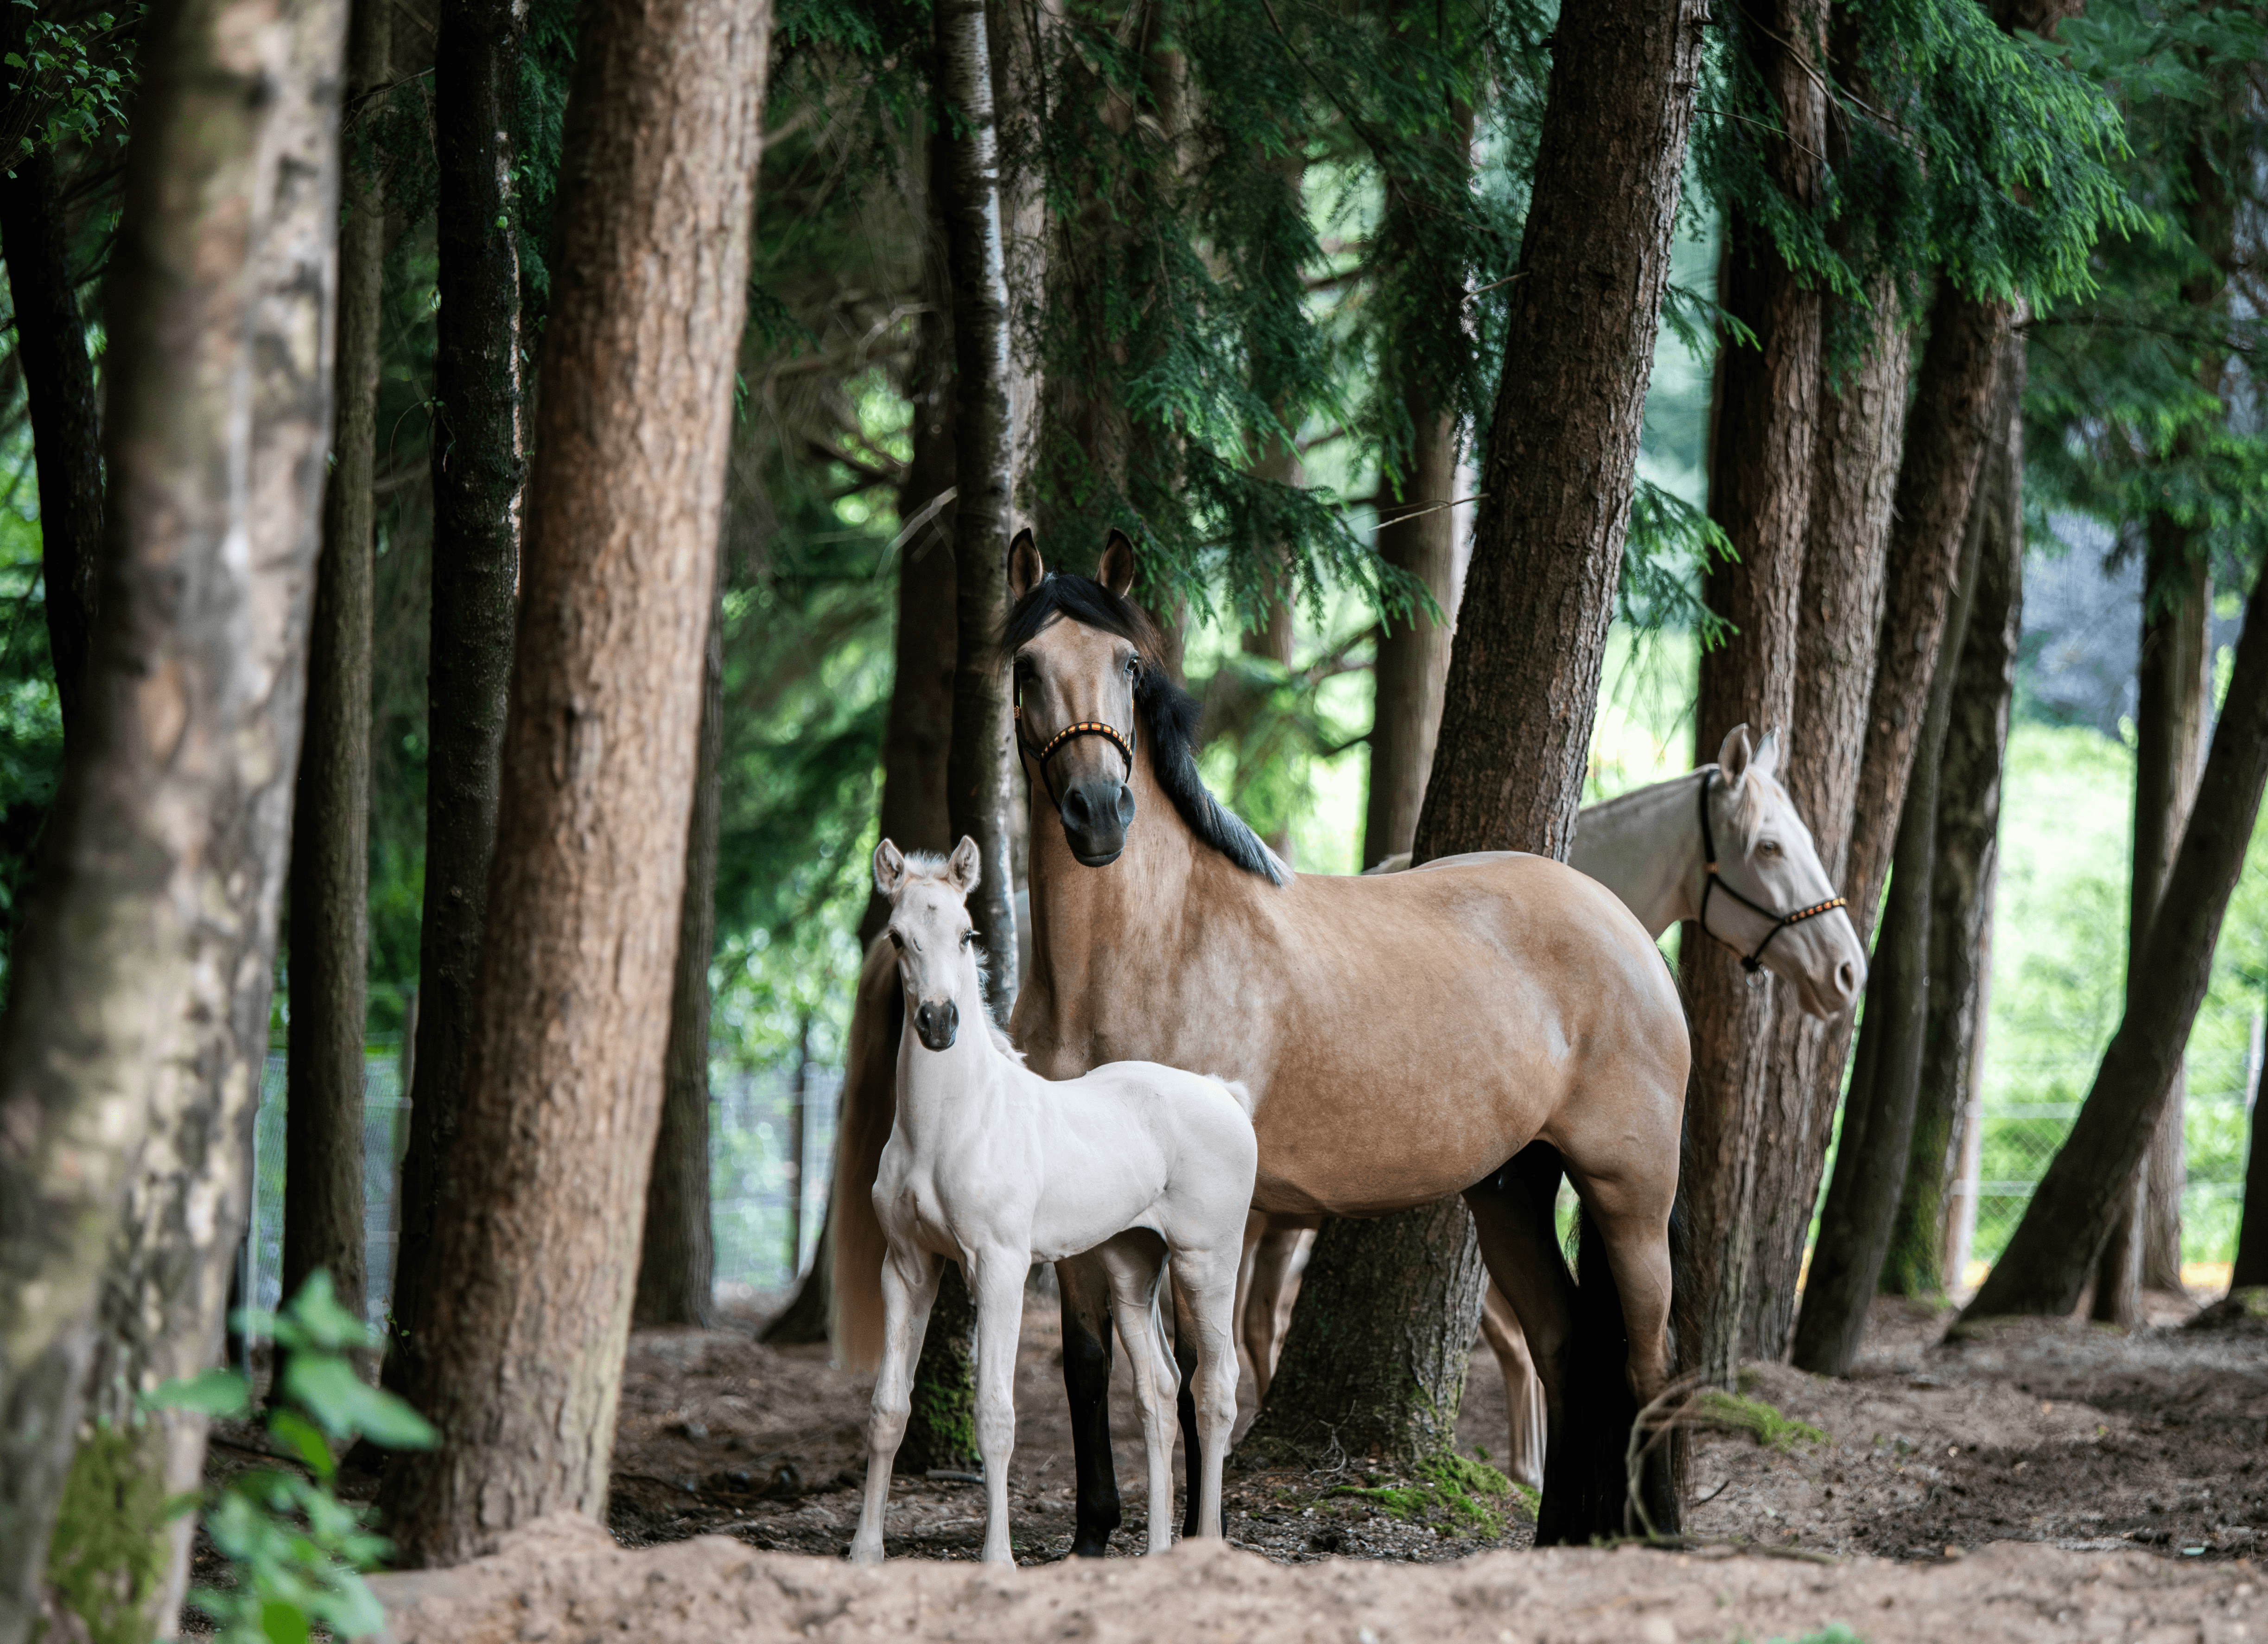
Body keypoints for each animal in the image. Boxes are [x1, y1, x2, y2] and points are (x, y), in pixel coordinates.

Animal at [849, 837, 1256, 1566]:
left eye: (967, 932)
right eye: (897, 937)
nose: (939, 1022)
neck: (951, 1124)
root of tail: (1225, 1093)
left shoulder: (1000, 1267)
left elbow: (995, 1415)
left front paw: (998, 1560)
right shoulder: (908, 1267)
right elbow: (887, 1407)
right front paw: (864, 1553)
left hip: (1206, 1260)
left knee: (1214, 1390)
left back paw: (1204, 1545)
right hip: (1131, 1263)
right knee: (1158, 1390)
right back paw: (1156, 1552)